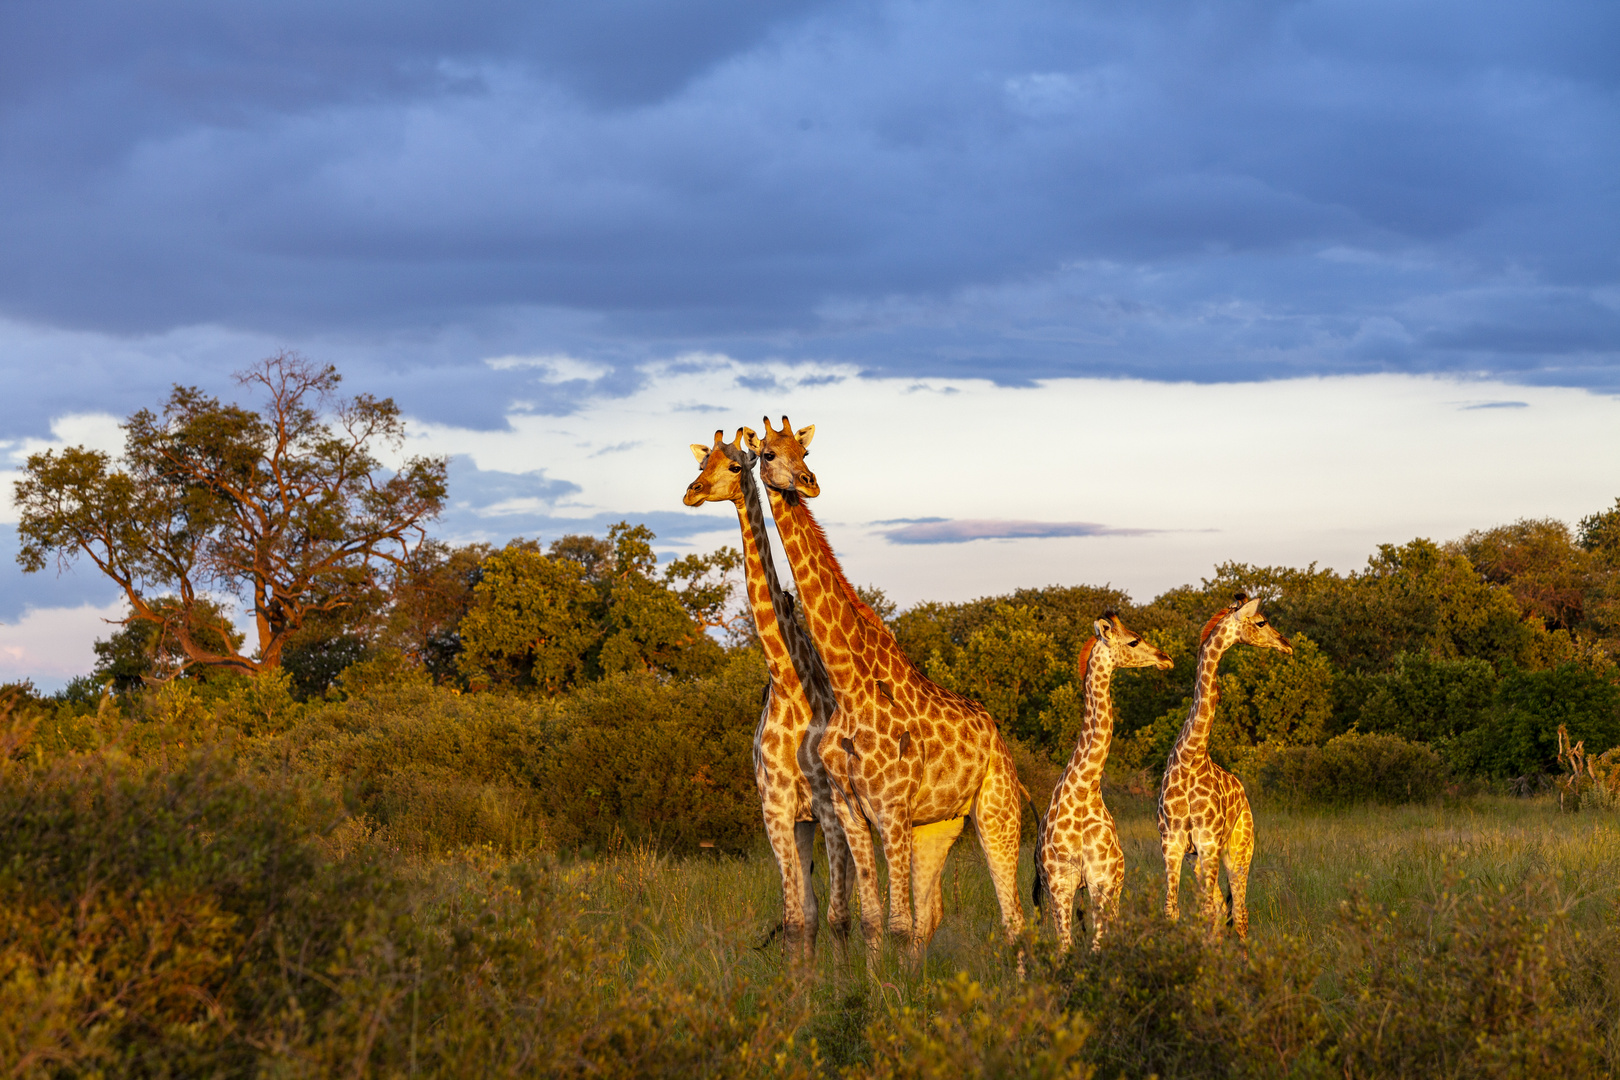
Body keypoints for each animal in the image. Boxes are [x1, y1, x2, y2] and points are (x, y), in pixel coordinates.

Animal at [683, 427, 861, 958]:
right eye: (702, 464)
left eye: (734, 465)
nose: (692, 492)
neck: (785, 680)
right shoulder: (776, 809)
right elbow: (796, 917)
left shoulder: (827, 806)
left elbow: (839, 914)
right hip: (798, 825)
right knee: (807, 908)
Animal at [745, 417, 1023, 958]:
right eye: (768, 454)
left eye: (805, 451)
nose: (808, 482)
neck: (850, 686)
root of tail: (997, 737)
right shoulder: (851, 811)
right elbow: (875, 919)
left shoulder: (890, 808)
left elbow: (894, 923)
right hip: (939, 824)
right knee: (931, 916)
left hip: (997, 810)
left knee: (1013, 919)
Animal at [1030, 612, 1172, 952]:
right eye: (1133, 641)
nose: (1166, 659)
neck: (1083, 790)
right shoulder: (1060, 885)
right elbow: (1065, 948)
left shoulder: (1102, 882)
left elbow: (1097, 945)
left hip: (1113, 886)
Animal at [1159, 595, 1296, 939]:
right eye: (1261, 622)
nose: (1286, 644)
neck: (1190, 757)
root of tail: (1244, 794)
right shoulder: (1172, 843)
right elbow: (1173, 910)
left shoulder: (1208, 842)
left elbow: (1207, 911)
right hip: (1200, 859)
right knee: (1223, 908)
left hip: (1239, 849)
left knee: (1241, 911)